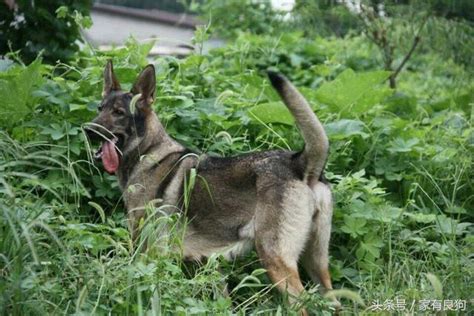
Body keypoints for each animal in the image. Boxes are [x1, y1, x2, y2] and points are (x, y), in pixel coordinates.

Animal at [85, 60, 336, 312]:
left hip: (276, 263)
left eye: (118, 113)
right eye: (99, 108)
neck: (148, 153)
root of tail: (299, 163)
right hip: (317, 267)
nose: (87, 129)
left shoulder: (146, 250)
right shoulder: (207, 264)